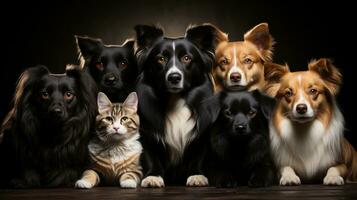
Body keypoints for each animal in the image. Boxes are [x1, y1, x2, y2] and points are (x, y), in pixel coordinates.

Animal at [134, 24, 225, 187]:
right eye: (161, 59)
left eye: (186, 58)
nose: (174, 77)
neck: (175, 99)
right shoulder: (147, 132)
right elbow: (151, 156)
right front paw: (153, 177)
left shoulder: (202, 135)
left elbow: (198, 156)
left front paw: (197, 176)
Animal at [264, 58, 356, 186]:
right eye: (288, 93)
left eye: (313, 91)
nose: (301, 108)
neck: (304, 129)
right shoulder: (280, 165)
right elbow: (286, 167)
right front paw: (289, 177)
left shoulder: (342, 164)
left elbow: (334, 168)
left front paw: (332, 178)